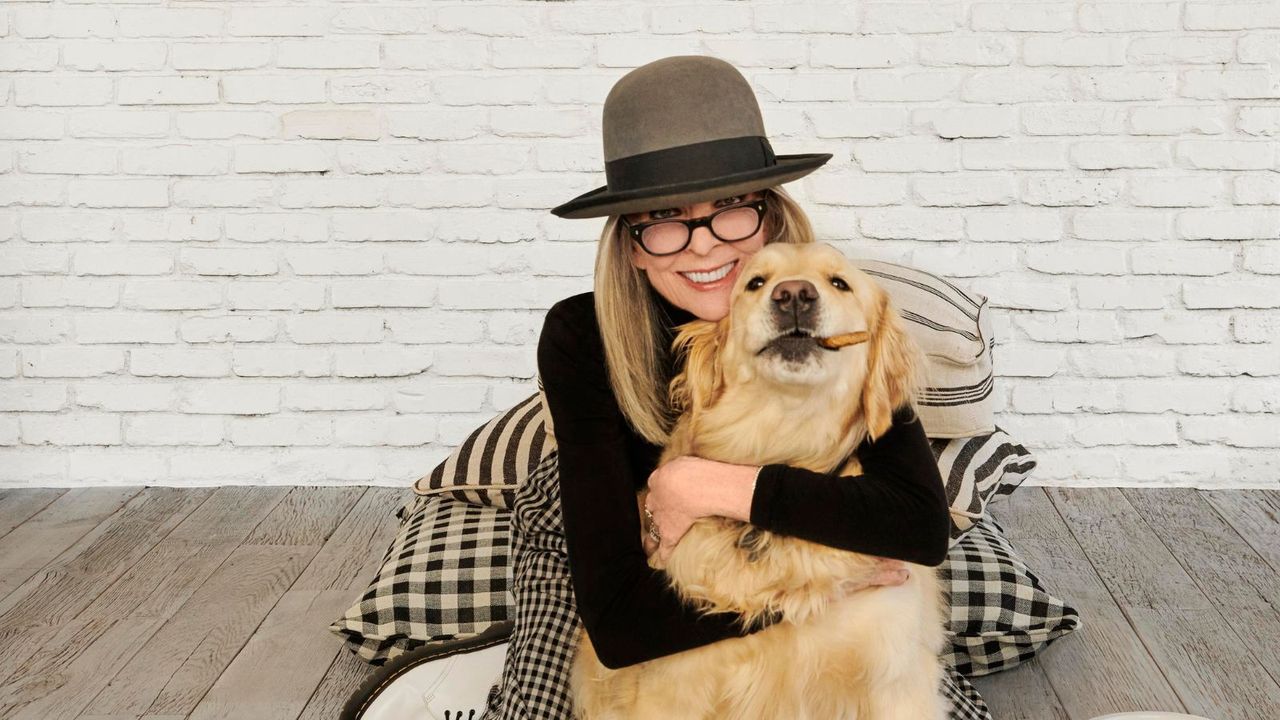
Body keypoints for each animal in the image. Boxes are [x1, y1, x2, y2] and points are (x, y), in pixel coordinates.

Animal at [570, 242, 952, 717]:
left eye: (839, 282)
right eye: (755, 282)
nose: (793, 295)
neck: (779, 442)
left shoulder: (896, 681)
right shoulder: (672, 685)